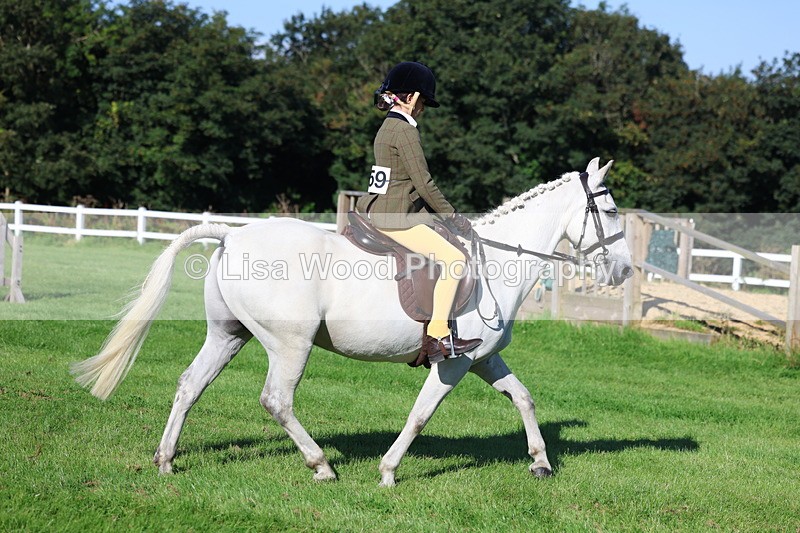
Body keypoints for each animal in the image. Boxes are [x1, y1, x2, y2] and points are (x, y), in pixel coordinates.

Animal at [72, 157, 633, 486]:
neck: (495, 262)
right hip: (290, 345)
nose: (625, 271)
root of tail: (233, 235)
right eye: (610, 210)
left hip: (227, 336)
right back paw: (321, 465)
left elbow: (523, 397)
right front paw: (388, 471)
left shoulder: (481, 358)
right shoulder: (453, 363)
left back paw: (166, 460)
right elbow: (421, 415)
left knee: (189, 386)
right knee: (276, 400)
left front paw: (540, 462)